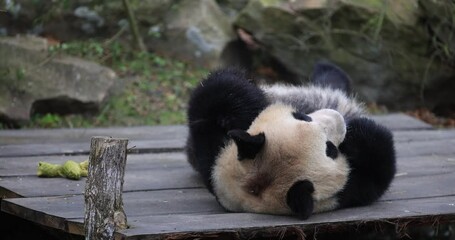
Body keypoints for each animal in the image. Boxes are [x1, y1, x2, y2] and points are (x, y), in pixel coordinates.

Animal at [184, 62, 396, 219]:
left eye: (302, 116)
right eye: (330, 149)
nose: (339, 118)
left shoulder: (214, 151)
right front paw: (361, 133)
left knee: (332, 79)